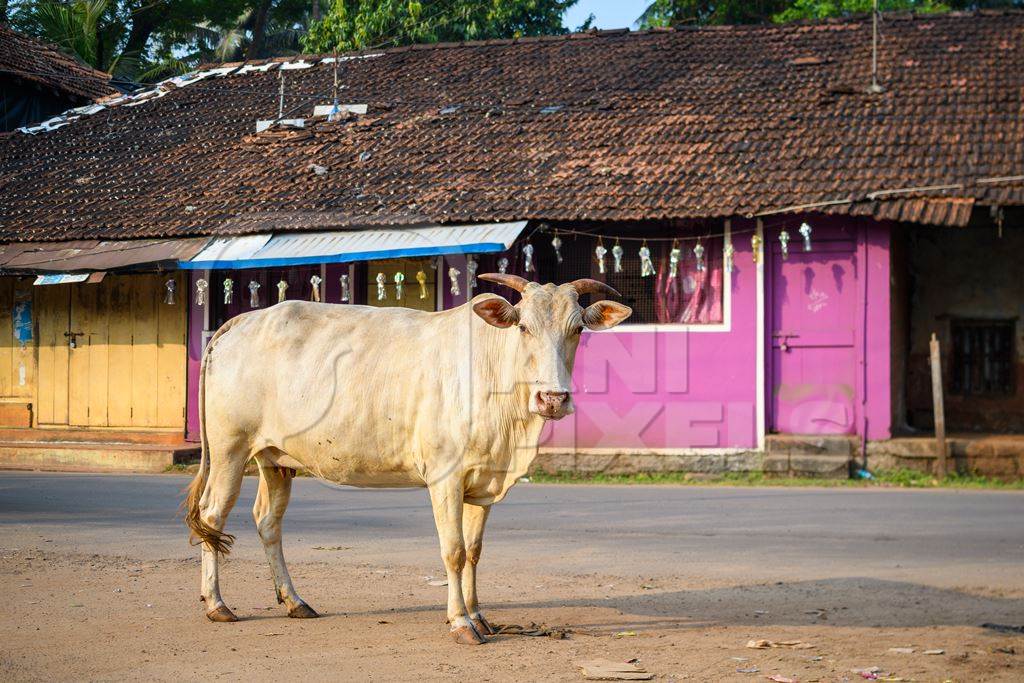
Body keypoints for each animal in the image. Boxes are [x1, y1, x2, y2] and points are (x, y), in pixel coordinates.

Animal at [185, 270, 630, 643]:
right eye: (523, 327)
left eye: (577, 329)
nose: (552, 398)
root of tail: (243, 321)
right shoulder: (445, 477)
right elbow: (453, 551)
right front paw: (461, 623)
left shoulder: (484, 480)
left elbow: (474, 551)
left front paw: (479, 615)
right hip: (229, 449)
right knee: (212, 516)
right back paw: (217, 604)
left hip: (274, 459)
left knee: (267, 522)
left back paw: (295, 601)